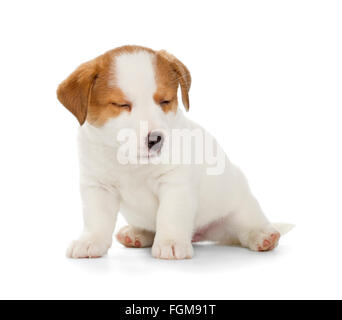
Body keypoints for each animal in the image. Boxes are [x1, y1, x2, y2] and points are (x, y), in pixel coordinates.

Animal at [56, 45, 292, 260]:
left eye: (165, 101)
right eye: (122, 104)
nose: (155, 139)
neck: (132, 164)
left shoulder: (175, 184)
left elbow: (170, 216)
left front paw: (170, 243)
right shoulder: (98, 187)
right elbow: (96, 220)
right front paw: (90, 241)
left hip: (239, 207)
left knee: (244, 226)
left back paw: (262, 235)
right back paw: (137, 234)